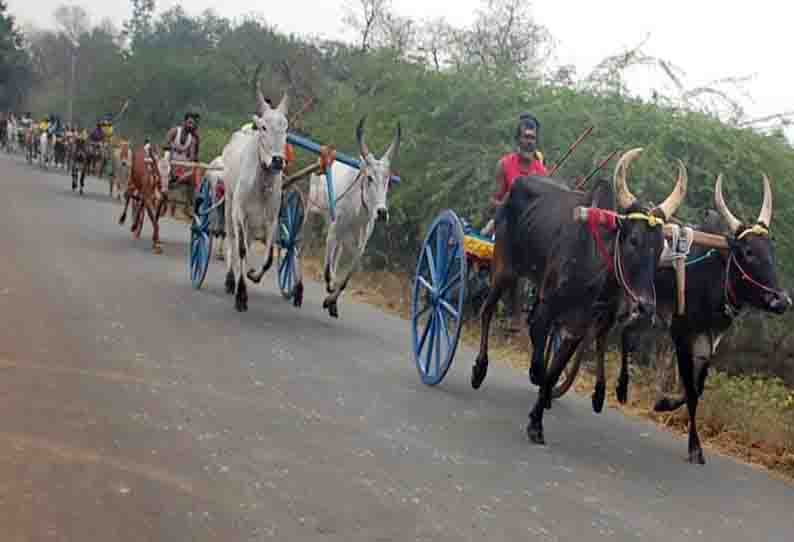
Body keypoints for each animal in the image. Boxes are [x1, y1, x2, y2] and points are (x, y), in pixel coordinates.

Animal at [221, 86, 290, 312]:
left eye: (286, 128)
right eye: (263, 127)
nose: (278, 161)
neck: (261, 184)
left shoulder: (272, 220)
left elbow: (268, 258)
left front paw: (254, 275)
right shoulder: (240, 213)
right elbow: (241, 250)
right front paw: (241, 295)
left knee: (247, 244)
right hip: (229, 207)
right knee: (233, 241)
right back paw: (230, 280)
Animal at [306, 115, 400, 318]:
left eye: (388, 179)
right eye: (369, 177)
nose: (382, 213)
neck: (357, 213)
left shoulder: (359, 247)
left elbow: (345, 280)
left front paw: (331, 301)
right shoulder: (333, 232)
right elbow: (327, 271)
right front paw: (329, 288)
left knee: (337, 255)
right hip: (312, 210)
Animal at [468, 148, 684, 446]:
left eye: (661, 246)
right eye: (633, 240)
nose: (644, 307)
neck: (594, 261)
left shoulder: (578, 326)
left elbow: (554, 370)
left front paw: (537, 422)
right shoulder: (547, 309)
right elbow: (539, 367)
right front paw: (539, 401)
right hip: (504, 268)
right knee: (487, 311)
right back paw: (479, 369)